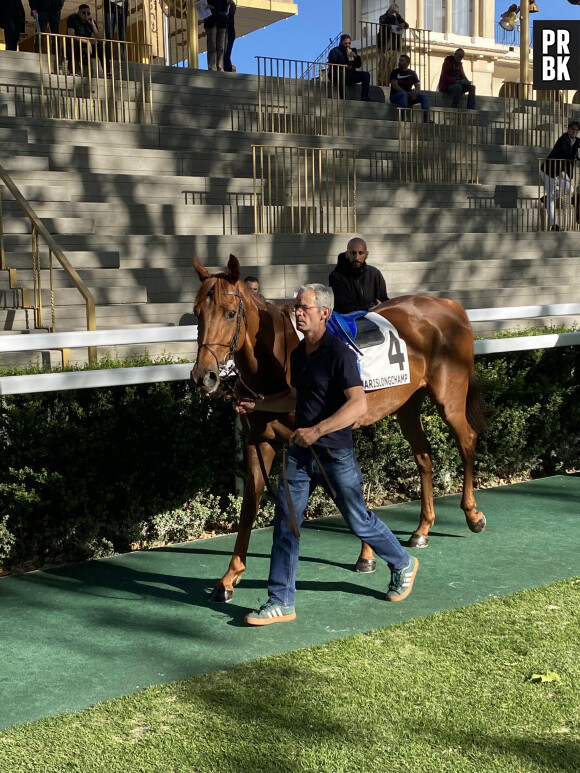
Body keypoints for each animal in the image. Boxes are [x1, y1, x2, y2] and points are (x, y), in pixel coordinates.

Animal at [190, 255, 484, 604]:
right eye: (196, 312)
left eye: (230, 313)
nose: (204, 376)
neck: (279, 361)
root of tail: (451, 305)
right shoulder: (259, 441)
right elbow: (250, 503)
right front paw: (228, 578)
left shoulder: (320, 438)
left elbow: (345, 494)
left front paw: (368, 555)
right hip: (407, 405)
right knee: (424, 456)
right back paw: (422, 529)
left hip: (449, 398)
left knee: (467, 440)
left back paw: (472, 515)